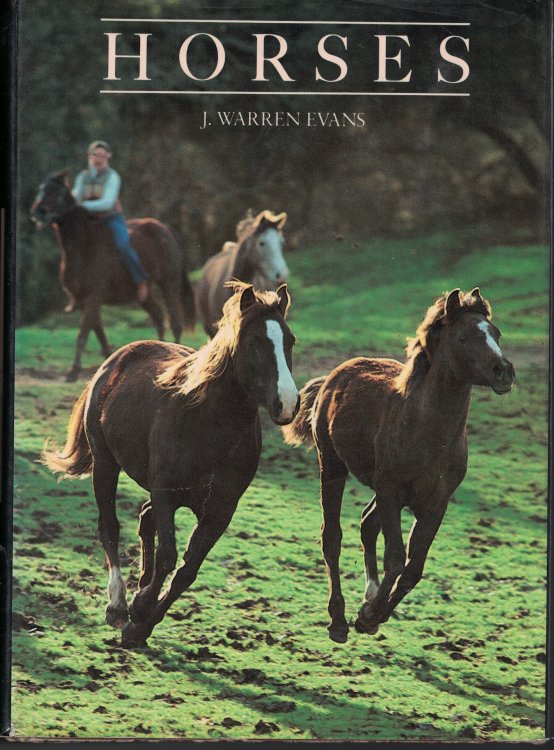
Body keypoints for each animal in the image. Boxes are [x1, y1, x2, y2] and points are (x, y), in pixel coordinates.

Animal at [31, 171, 196, 382]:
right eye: (41, 189)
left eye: (57, 191)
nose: (38, 212)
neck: (84, 246)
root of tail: (168, 230)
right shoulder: (85, 301)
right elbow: (98, 332)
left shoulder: (93, 297)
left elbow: (83, 335)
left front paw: (73, 372)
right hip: (144, 295)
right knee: (158, 316)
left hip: (169, 284)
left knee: (175, 321)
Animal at [42, 282, 299, 647]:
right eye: (254, 343)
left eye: (289, 340)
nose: (287, 403)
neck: (210, 426)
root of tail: (115, 361)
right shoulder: (165, 489)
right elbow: (168, 555)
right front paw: (138, 609)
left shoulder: (221, 508)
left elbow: (187, 570)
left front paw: (142, 624)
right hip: (107, 466)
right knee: (111, 527)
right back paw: (118, 603)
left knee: (145, 518)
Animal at [283, 288, 515, 643]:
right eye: (463, 337)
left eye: (496, 333)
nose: (504, 371)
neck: (428, 432)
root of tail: (335, 376)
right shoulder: (391, 492)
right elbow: (395, 558)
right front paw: (366, 617)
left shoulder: (435, 503)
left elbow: (413, 569)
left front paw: (373, 614)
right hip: (334, 467)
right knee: (332, 536)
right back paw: (338, 620)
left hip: (379, 486)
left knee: (367, 523)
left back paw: (369, 592)